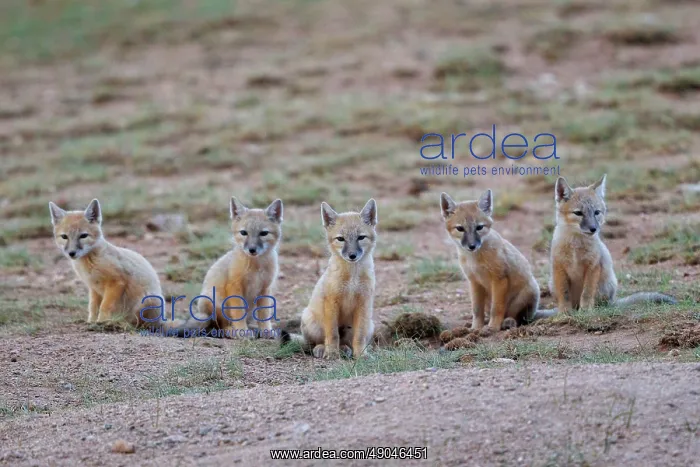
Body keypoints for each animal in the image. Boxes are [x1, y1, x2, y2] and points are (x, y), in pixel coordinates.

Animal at [188, 197, 283, 337]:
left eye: (264, 233)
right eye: (244, 233)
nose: (252, 250)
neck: (256, 267)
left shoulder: (265, 289)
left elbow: (264, 314)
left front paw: (266, 331)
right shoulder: (235, 287)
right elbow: (238, 312)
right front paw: (242, 331)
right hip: (214, 302)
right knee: (220, 327)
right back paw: (232, 331)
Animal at [281, 199, 378, 359]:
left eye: (361, 237)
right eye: (341, 239)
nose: (352, 255)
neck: (352, 276)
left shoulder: (363, 303)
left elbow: (359, 337)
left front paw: (361, 355)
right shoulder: (332, 302)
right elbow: (332, 334)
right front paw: (332, 353)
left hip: (369, 324)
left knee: (347, 342)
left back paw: (346, 349)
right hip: (312, 322)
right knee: (315, 343)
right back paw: (322, 349)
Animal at [440, 190, 552, 331]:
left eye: (479, 227)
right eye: (460, 229)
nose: (472, 246)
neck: (474, 259)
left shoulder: (499, 279)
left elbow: (497, 307)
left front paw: (493, 327)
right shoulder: (474, 282)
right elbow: (477, 310)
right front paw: (476, 328)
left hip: (529, 293)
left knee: (519, 319)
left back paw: (508, 322)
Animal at [550, 175, 676, 312]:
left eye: (596, 212)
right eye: (578, 213)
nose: (593, 229)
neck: (575, 247)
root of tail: (613, 301)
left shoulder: (593, 266)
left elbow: (587, 292)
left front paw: (586, 310)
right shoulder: (559, 267)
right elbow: (564, 293)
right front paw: (565, 311)